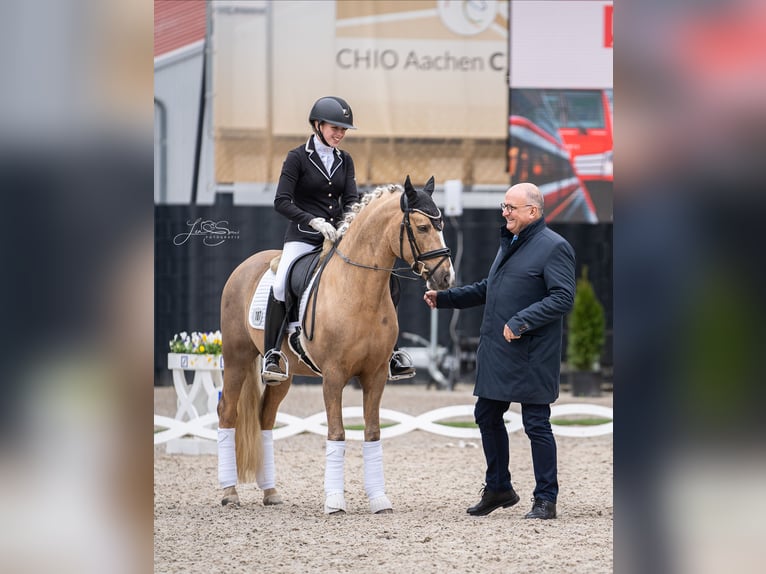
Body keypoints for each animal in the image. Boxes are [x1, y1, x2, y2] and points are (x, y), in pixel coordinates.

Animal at [216, 177, 456, 516]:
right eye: (422, 227)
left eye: (442, 224)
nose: (446, 277)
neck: (358, 289)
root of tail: (247, 264)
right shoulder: (333, 376)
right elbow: (337, 433)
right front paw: (334, 501)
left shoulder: (376, 375)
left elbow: (372, 432)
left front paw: (379, 500)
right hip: (237, 357)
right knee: (227, 412)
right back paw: (229, 492)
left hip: (283, 375)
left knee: (265, 419)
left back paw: (271, 492)